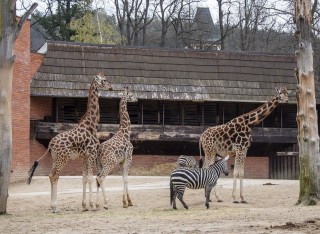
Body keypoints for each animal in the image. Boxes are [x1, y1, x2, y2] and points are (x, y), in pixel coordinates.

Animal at [27, 72, 112, 213]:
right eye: (104, 80)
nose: (111, 87)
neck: (92, 125)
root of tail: (50, 144)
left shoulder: (84, 157)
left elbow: (84, 178)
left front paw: (85, 205)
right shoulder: (91, 154)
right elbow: (90, 177)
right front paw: (93, 205)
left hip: (55, 158)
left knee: (51, 175)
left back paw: (53, 206)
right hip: (63, 158)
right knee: (54, 175)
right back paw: (55, 207)